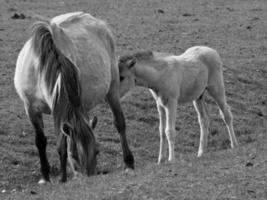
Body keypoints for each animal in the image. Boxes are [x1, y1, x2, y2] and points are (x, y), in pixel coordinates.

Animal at [13, 11, 134, 184]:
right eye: (74, 156)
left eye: (97, 152)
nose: (88, 177)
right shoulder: (30, 107)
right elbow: (41, 141)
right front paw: (46, 176)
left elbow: (61, 143)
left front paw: (62, 178)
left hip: (112, 90)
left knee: (120, 123)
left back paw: (129, 163)